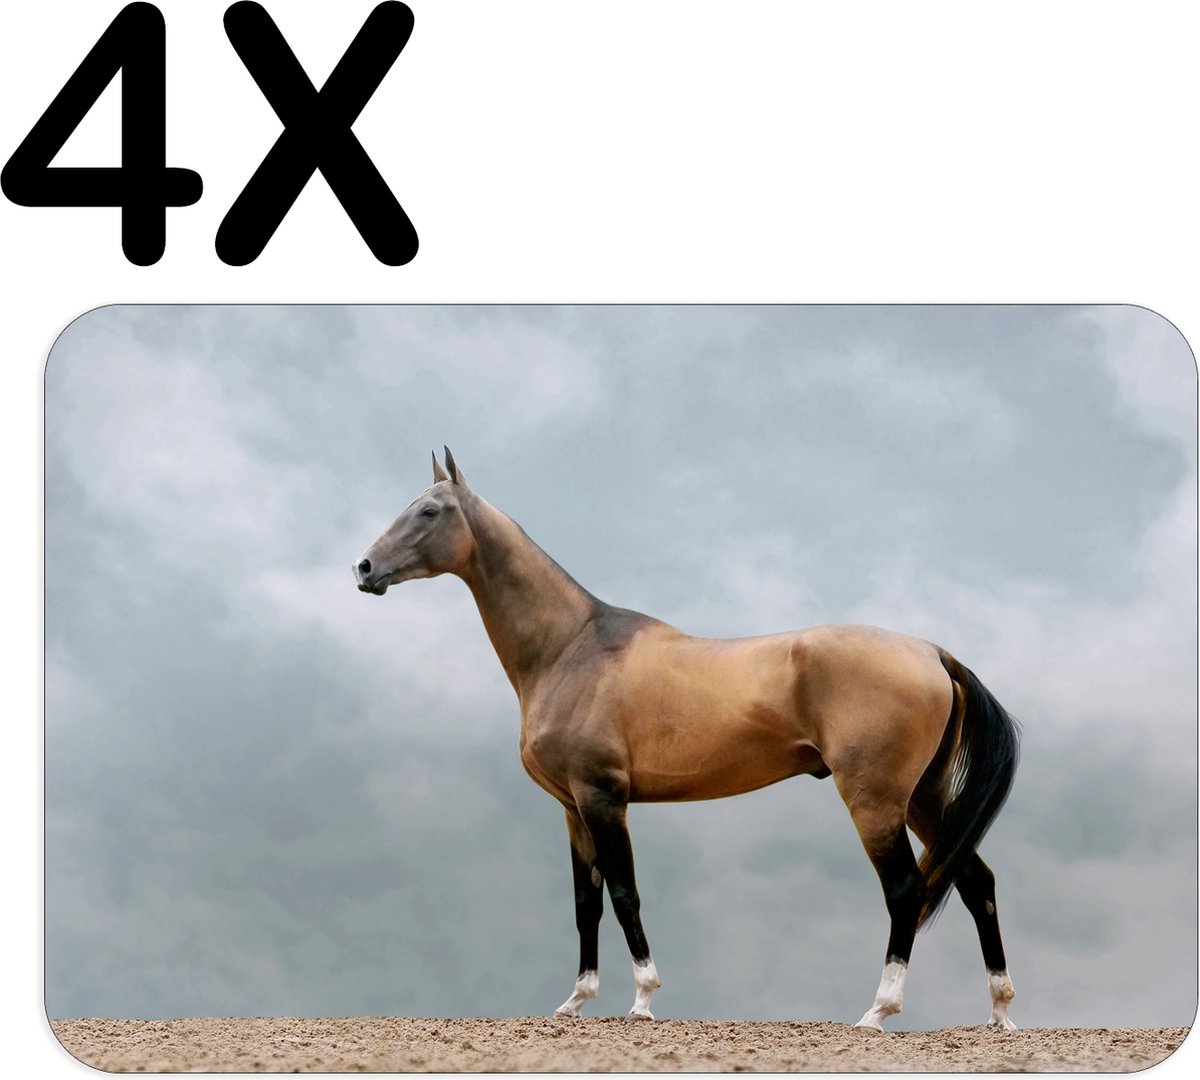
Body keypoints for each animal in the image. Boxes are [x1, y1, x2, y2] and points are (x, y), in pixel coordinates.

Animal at [353, 449, 1020, 1030]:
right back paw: (999, 1012)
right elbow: (586, 905)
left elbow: (624, 894)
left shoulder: (603, 798)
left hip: (876, 802)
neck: (571, 647)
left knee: (906, 891)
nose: (363, 570)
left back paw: (878, 1012)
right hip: (923, 800)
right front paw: (576, 1001)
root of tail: (931, 651)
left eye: (429, 511)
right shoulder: (572, 808)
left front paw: (643, 1000)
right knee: (978, 882)